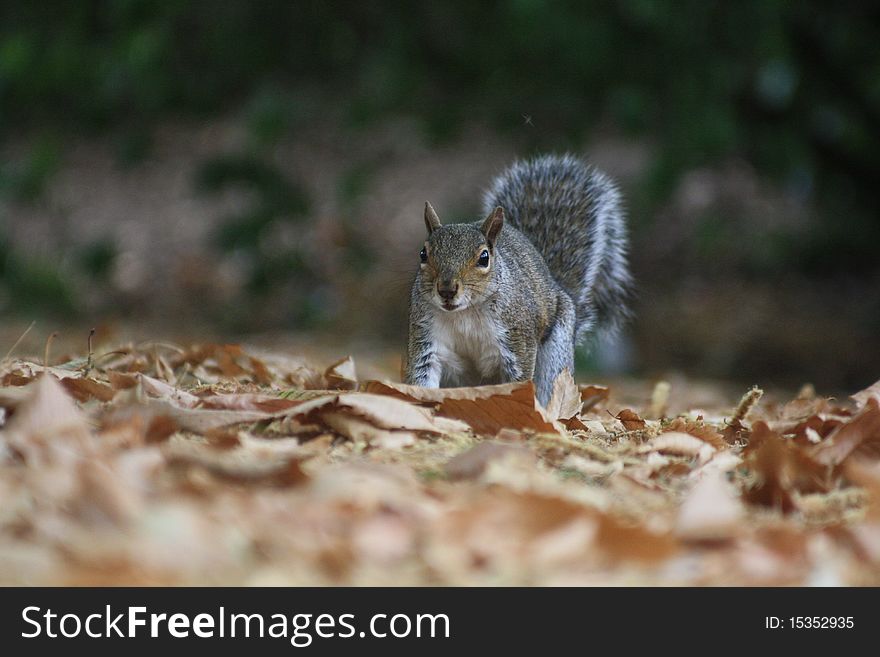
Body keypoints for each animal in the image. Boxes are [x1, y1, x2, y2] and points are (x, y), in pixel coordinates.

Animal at [406, 152, 632, 404]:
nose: (446, 290)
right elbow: (423, 377)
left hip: (556, 354)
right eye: (423, 254)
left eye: (484, 258)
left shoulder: (518, 338)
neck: (465, 313)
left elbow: (519, 379)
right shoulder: (426, 336)